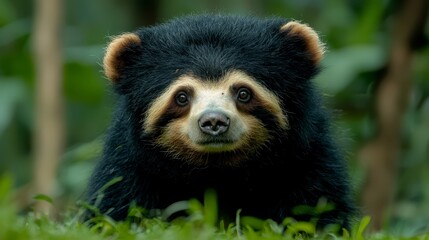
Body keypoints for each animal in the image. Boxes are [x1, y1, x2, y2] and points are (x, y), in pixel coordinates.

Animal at [85, 15, 356, 229]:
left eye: (244, 93)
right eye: (182, 96)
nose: (214, 121)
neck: (218, 169)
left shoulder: (306, 160)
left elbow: (317, 207)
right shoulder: (129, 167)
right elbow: (115, 206)